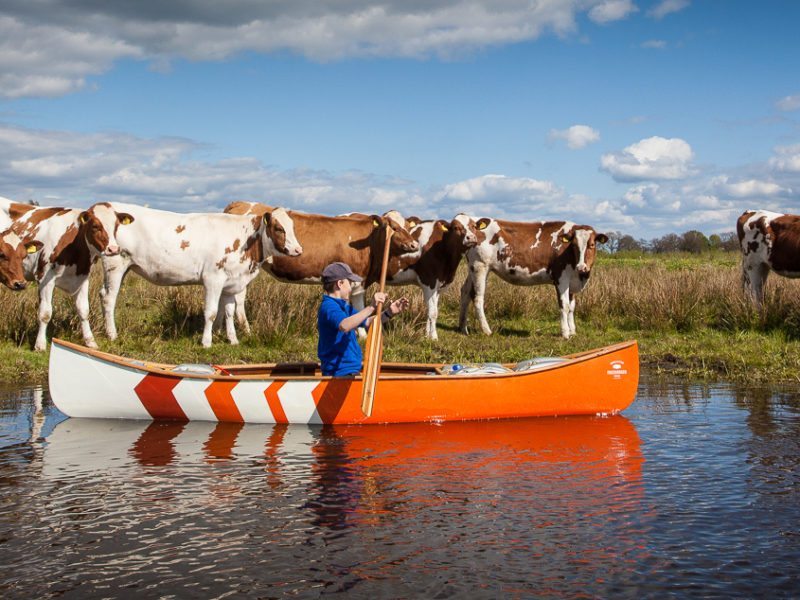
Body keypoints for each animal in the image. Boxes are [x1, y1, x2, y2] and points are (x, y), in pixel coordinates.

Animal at [84, 204, 304, 350]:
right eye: (279, 228)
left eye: (293, 227)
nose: (298, 250)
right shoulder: (213, 278)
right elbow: (211, 312)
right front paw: (206, 342)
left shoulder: (231, 282)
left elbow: (230, 312)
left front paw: (233, 340)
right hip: (115, 263)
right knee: (109, 298)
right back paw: (112, 334)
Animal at [220, 200, 418, 332]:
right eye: (393, 227)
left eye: (407, 226)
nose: (414, 244)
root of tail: (240, 203)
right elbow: (355, 308)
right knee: (238, 299)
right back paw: (245, 329)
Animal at [460, 219, 608, 342]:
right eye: (574, 246)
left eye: (592, 245)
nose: (582, 267)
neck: (579, 276)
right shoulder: (561, 278)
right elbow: (564, 305)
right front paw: (565, 333)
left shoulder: (571, 282)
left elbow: (572, 307)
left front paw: (572, 331)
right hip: (480, 266)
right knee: (478, 298)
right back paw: (486, 330)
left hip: (473, 269)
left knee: (465, 292)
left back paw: (463, 328)